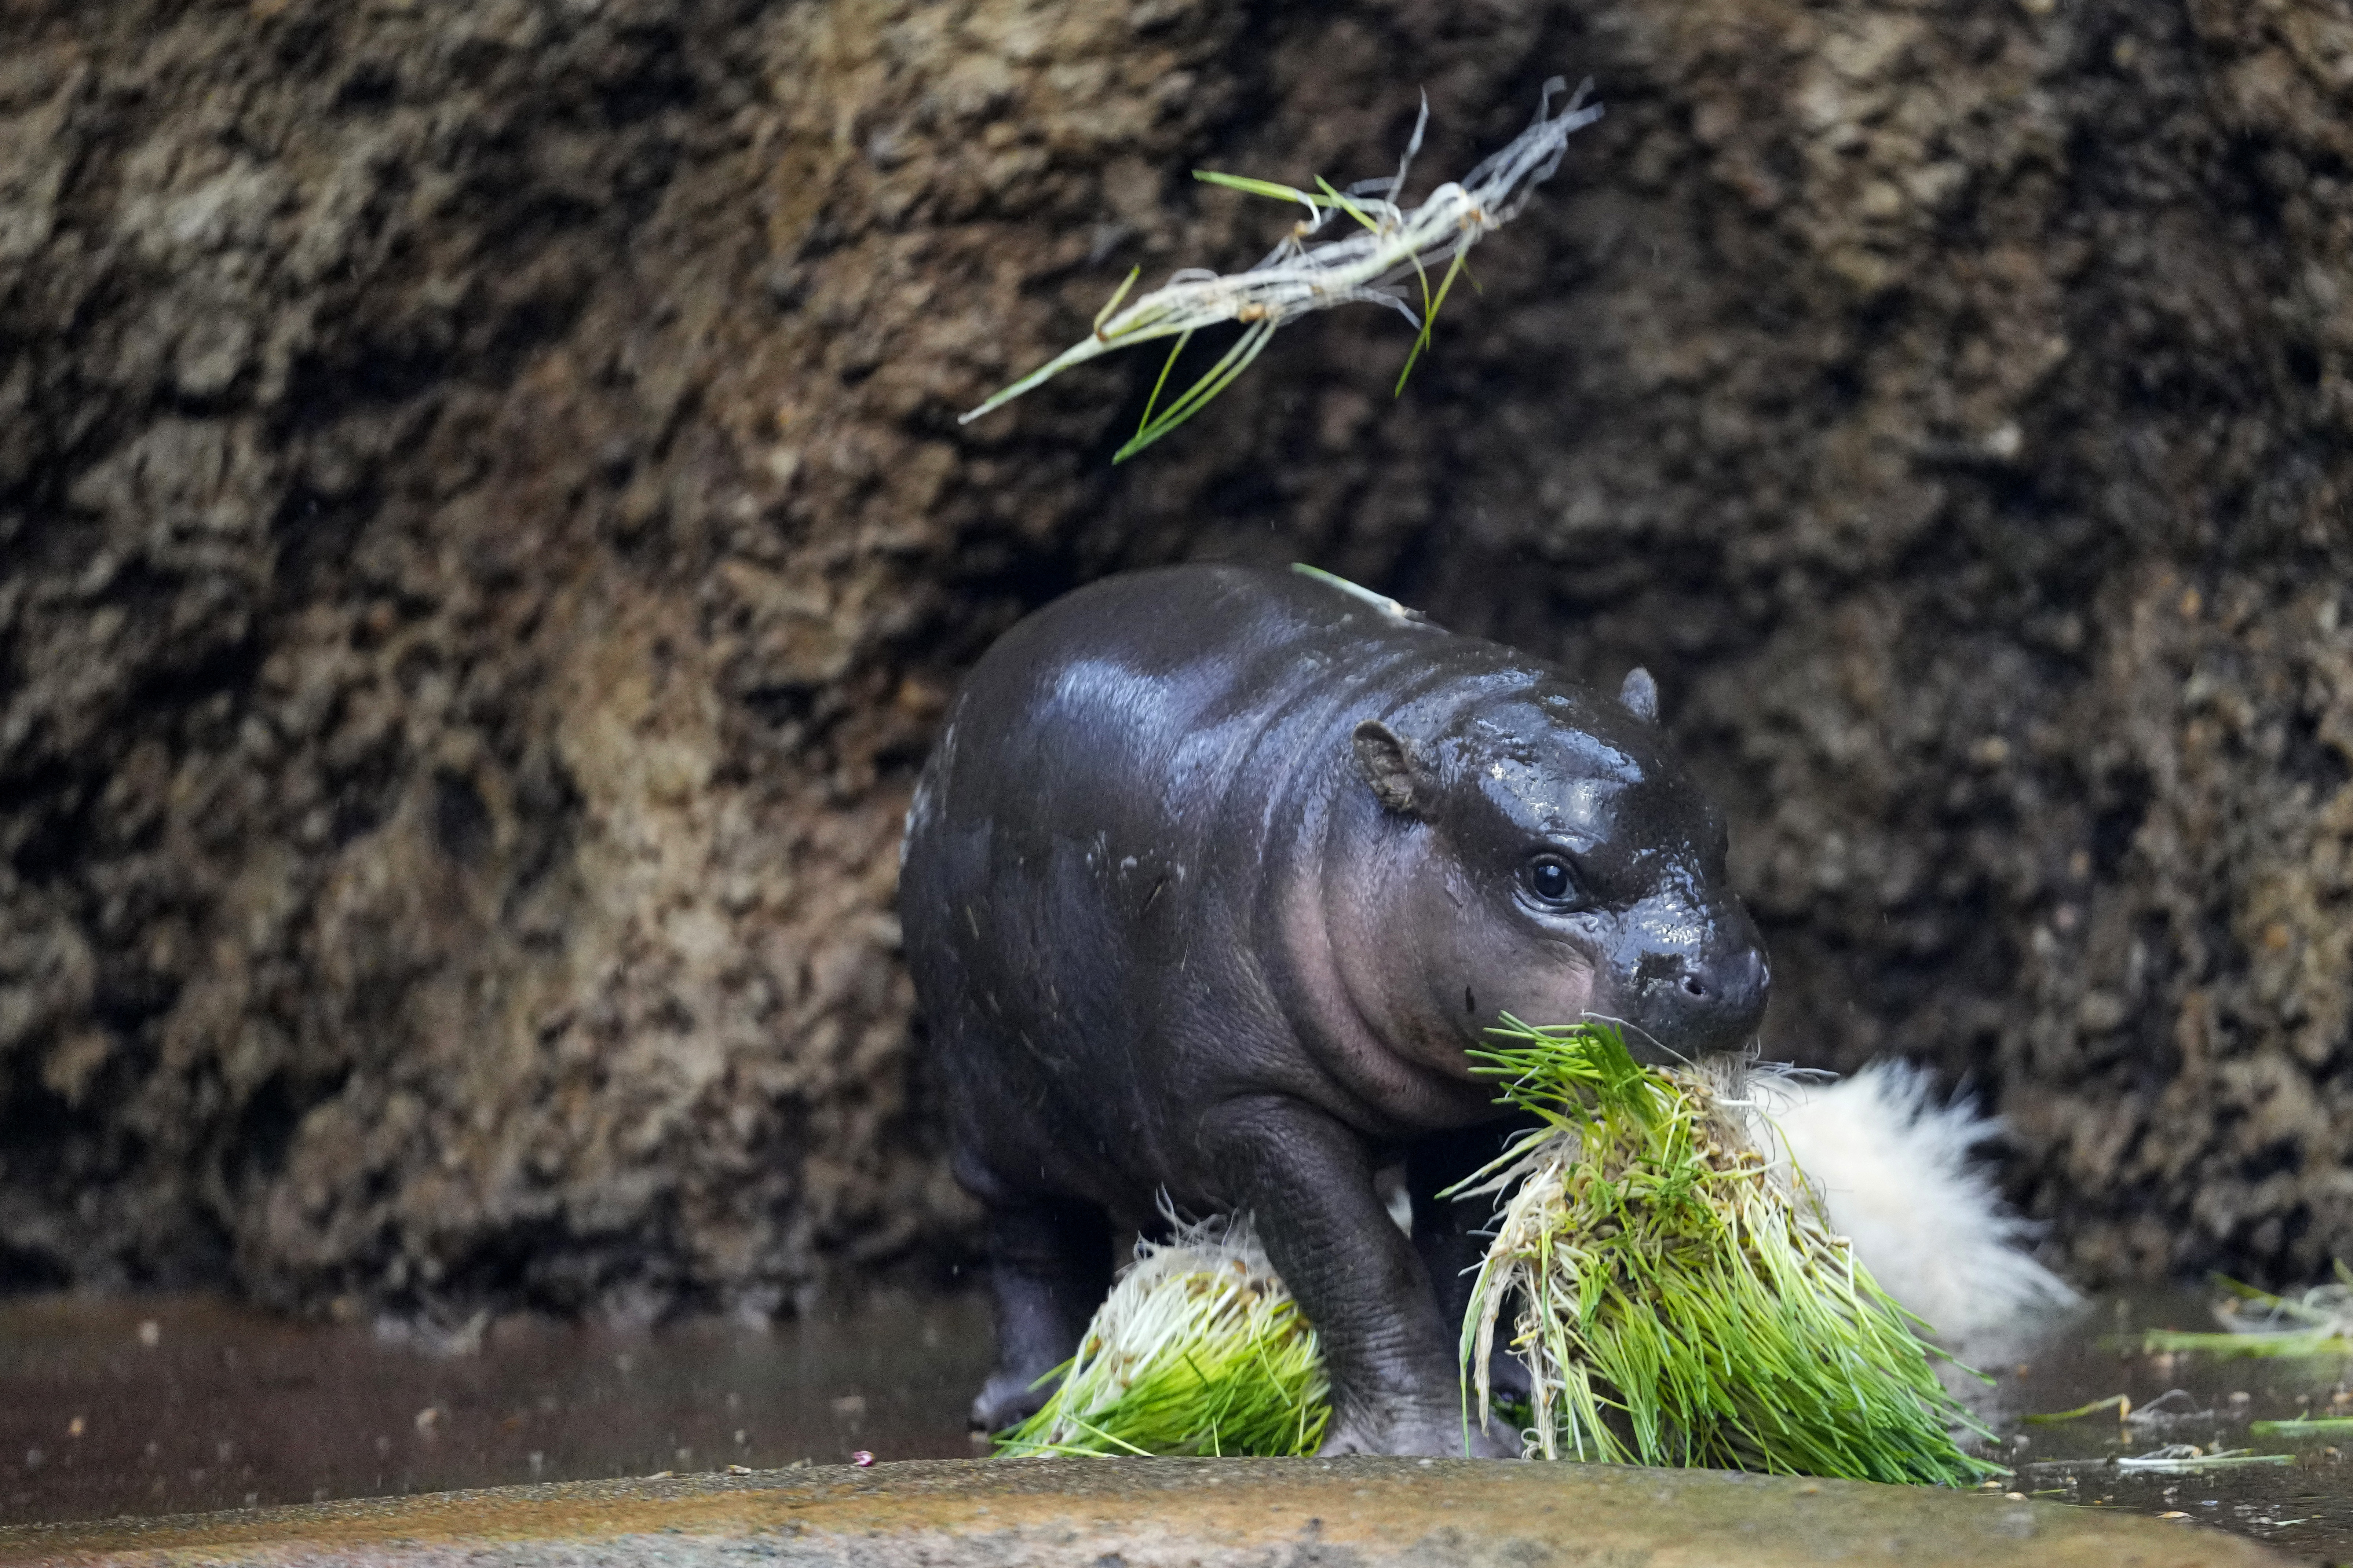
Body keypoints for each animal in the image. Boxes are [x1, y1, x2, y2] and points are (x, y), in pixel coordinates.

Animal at [899, 564, 1769, 1457]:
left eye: (1719, 835)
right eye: (1551, 875)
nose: (1729, 976)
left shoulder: (1472, 1098)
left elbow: (1465, 1246)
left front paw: (1508, 1401)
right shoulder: (1252, 1104)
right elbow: (1359, 1258)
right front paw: (1432, 1446)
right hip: (993, 1095)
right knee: (1031, 1238)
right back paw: (1023, 1410)